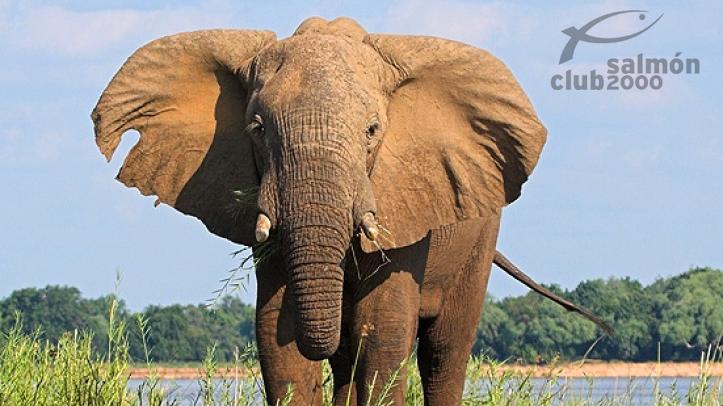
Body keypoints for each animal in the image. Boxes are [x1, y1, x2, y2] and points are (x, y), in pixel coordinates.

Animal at [92, 17, 610, 405]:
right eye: (257, 128)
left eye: (372, 130)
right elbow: (277, 334)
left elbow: (380, 330)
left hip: (480, 236)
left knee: (443, 349)